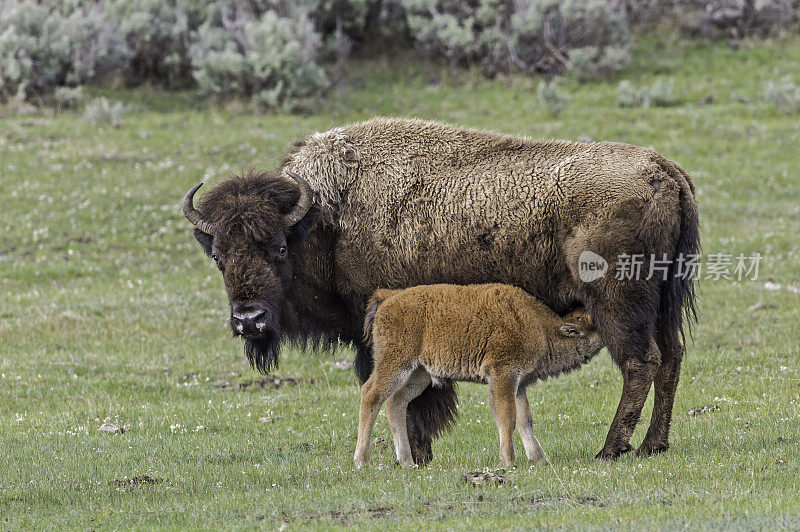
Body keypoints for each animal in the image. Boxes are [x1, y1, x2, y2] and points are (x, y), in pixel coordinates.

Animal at [354, 282, 604, 466]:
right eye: (585, 319)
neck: (541, 326)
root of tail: (389, 297)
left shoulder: (519, 384)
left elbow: (525, 419)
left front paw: (539, 459)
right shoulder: (503, 375)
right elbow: (507, 417)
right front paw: (508, 460)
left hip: (420, 373)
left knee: (396, 400)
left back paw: (407, 462)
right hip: (395, 362)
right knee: (372, 395)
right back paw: (362, 460)